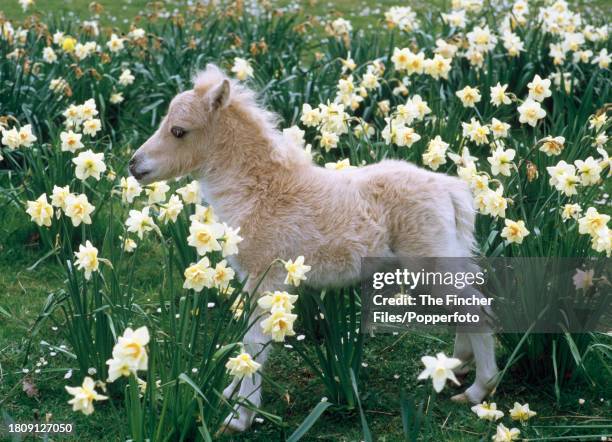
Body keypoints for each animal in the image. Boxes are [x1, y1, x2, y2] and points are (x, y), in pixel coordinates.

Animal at [129, 64, 498, 432]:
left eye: (179, 131)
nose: (134, 165)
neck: (261, 191)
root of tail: (449, 188)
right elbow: (245, 339)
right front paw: (230, 390)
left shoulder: (265, 278)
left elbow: (254, 341)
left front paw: (240, 415)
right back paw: (457, 364)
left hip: (430, 266)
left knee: (478, 311)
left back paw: (480, 389)